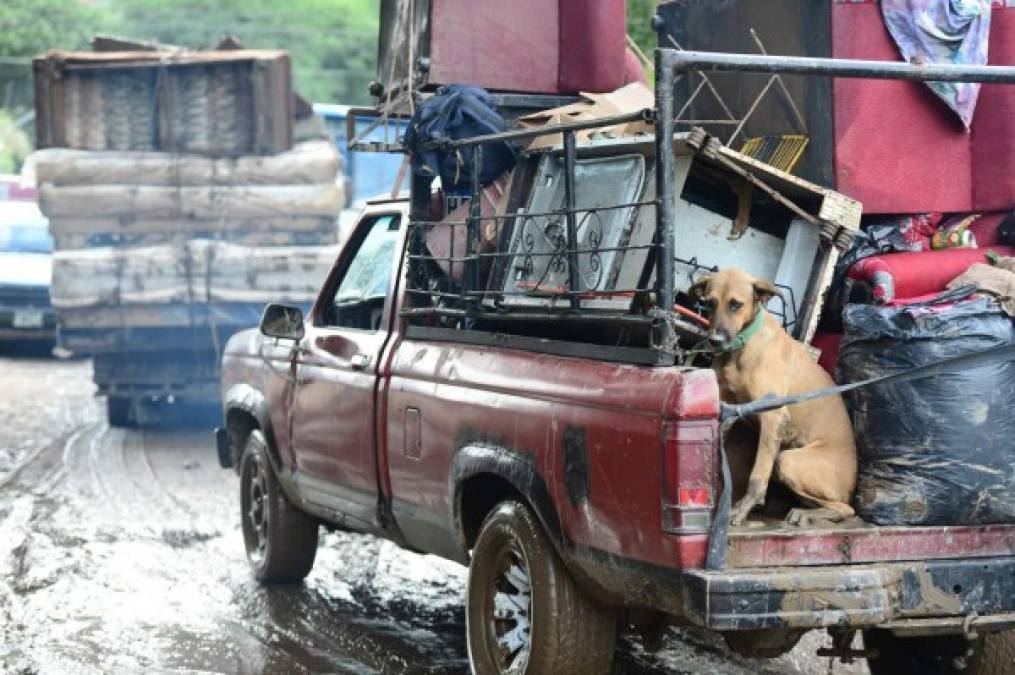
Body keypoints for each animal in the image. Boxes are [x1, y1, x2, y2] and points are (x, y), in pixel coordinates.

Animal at [690, 267, 856, 527]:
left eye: (736, 304)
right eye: (709, 303)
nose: (715, 341)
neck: (743, 345)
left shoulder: (773, 418)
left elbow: (758, 477)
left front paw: (741, 510)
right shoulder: (726, 409)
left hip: (789, 460)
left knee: (846, 508)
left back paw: (806, 513)